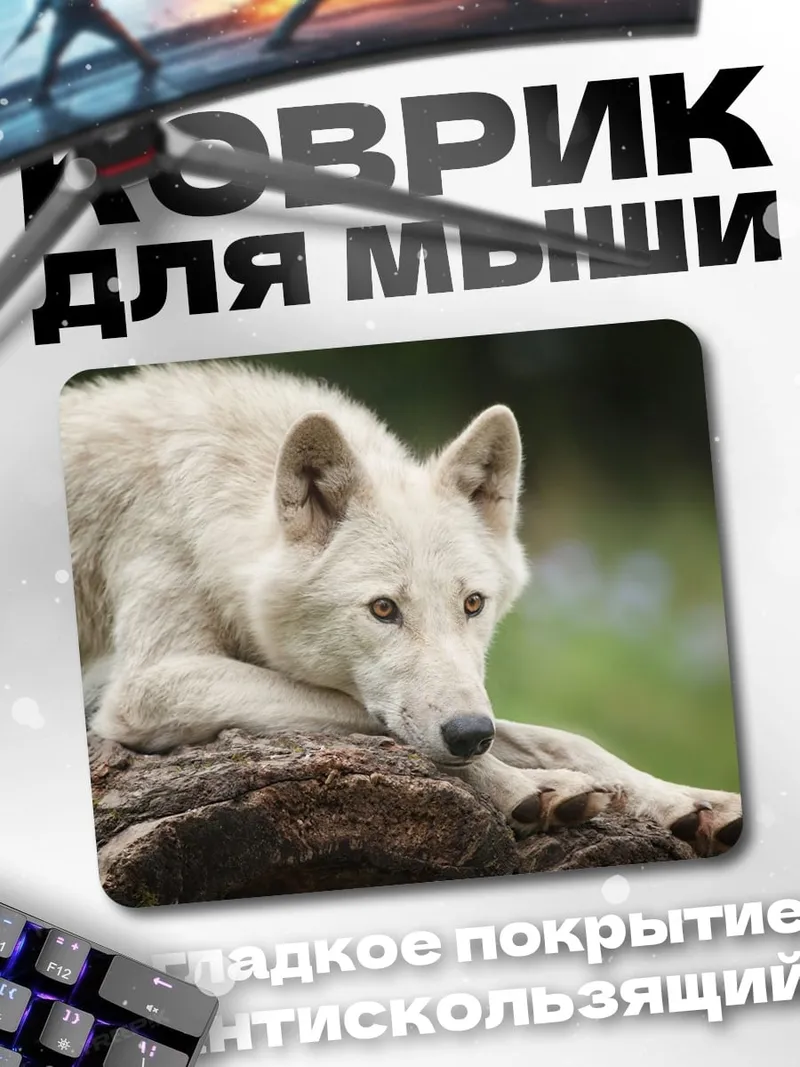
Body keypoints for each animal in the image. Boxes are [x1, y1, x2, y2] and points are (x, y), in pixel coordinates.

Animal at [60, 360, 742, 856]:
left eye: (473, 603)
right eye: (384, 609)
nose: (469, 734)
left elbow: (559, 736)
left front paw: (687, 801)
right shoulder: (145, 687)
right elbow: (370, 717)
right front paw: (528, 786)